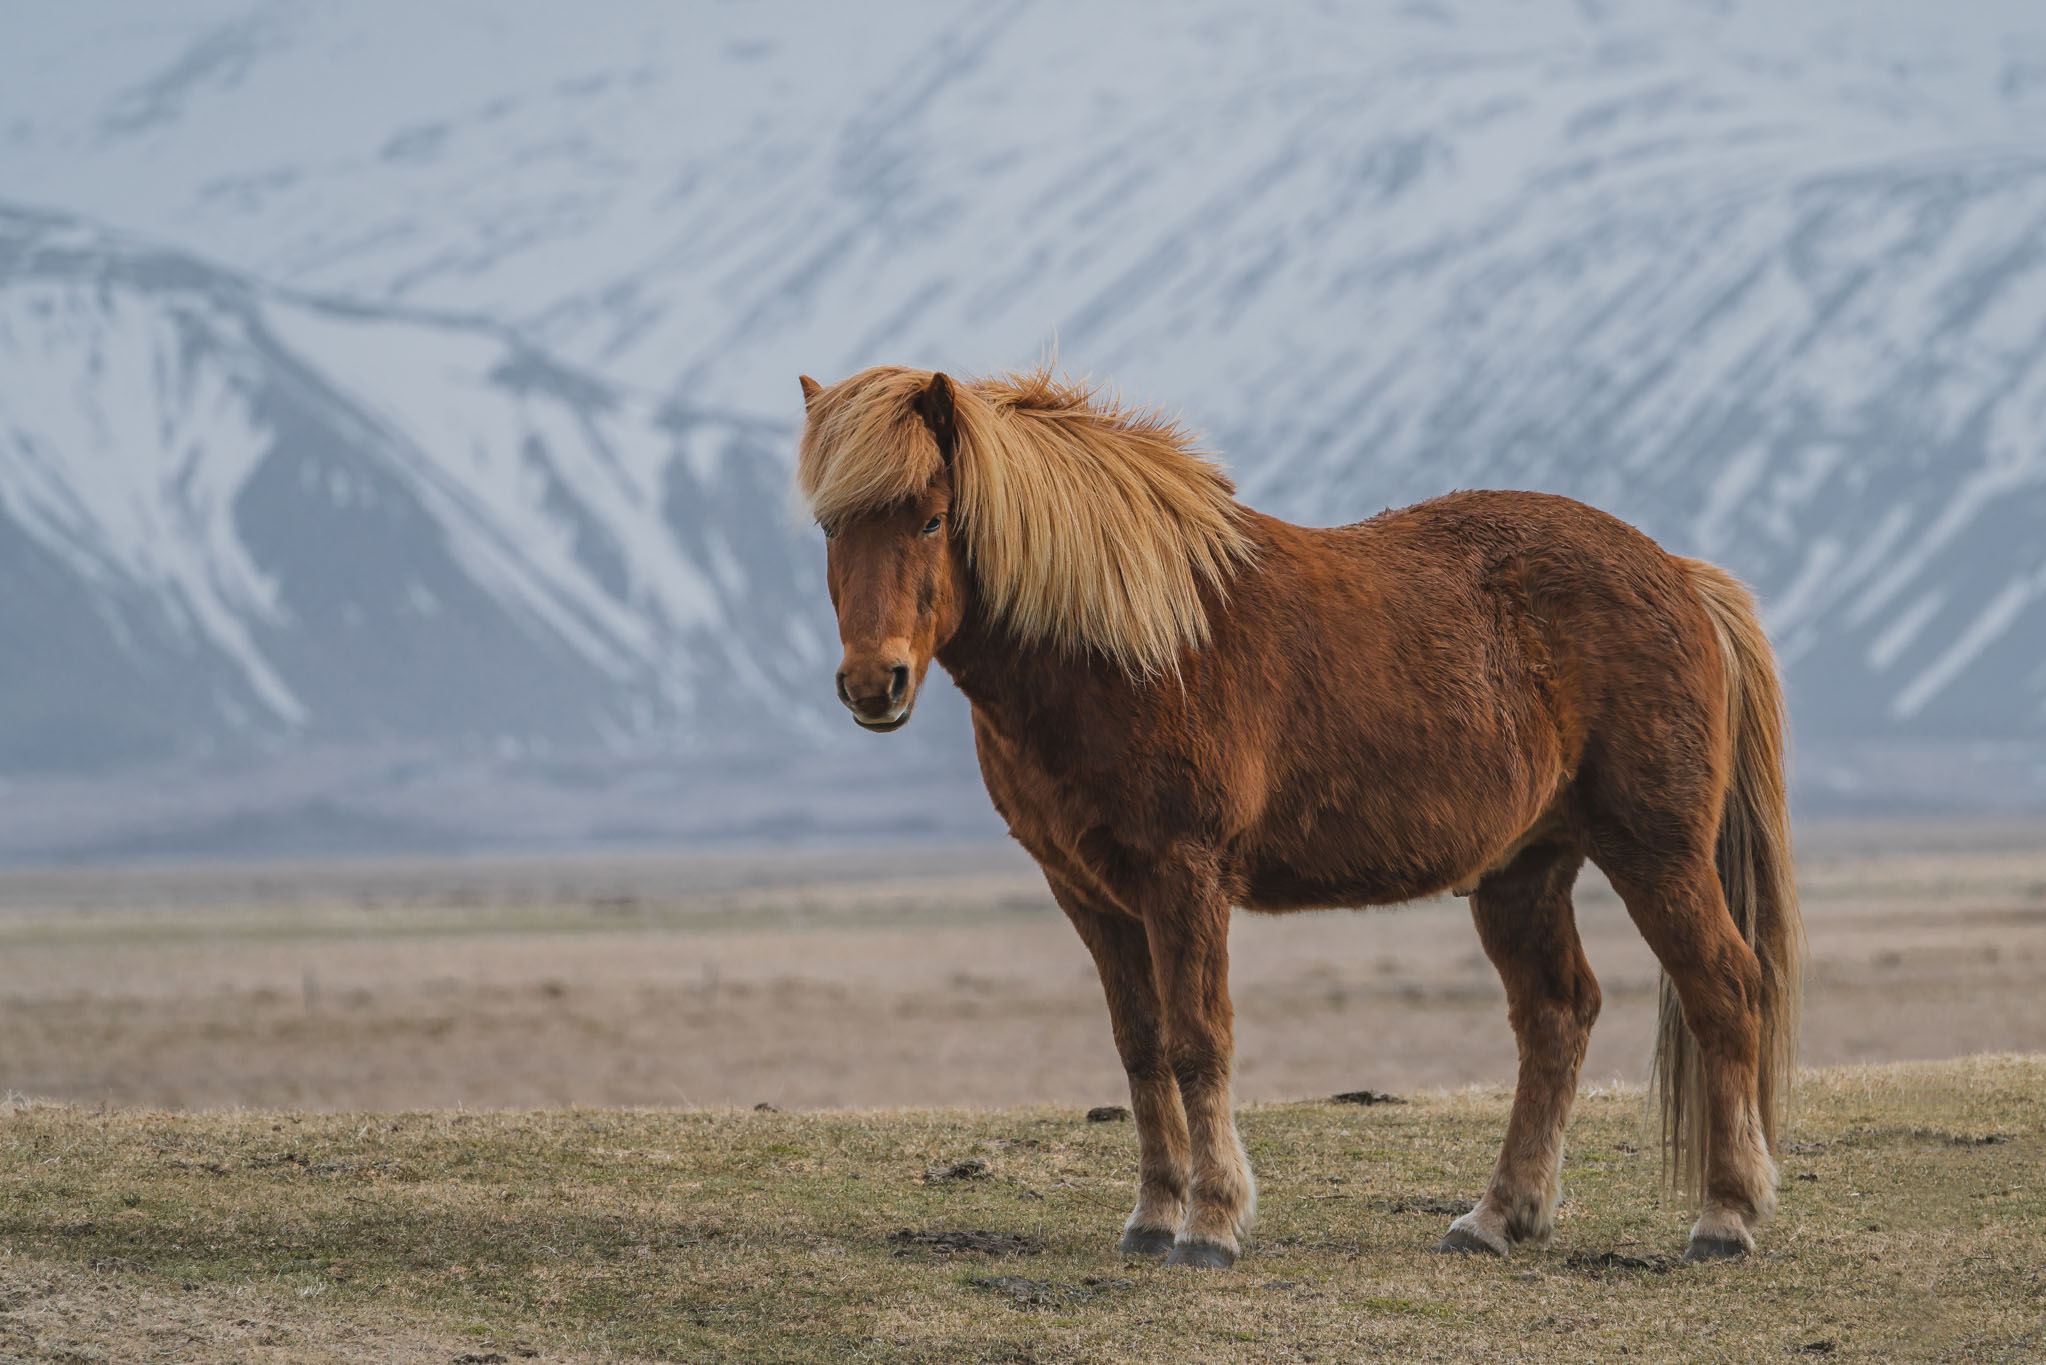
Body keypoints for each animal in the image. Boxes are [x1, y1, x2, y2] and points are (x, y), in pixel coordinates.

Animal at [789, 362, 1800, 1268]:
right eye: (832, 527)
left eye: (930, 515)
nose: (873, 683)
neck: (1124, 645)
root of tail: (1680, 574)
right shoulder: (1090, 894)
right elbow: (1141, 1046)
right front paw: (1153, 1214)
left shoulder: (1183, 873)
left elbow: (1199, 1040)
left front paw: (1209, 1224)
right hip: (1523, 871)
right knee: (1557, 1012)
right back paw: (1496, 1217)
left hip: (1657, 852)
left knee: (1723, 987)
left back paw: (1724, 1216)